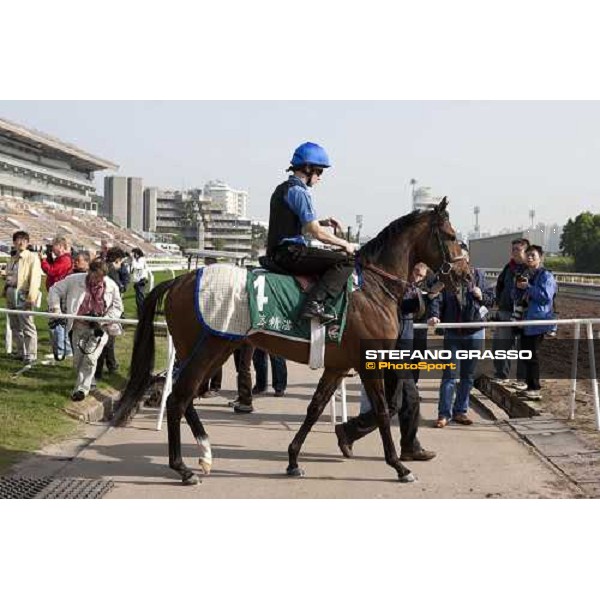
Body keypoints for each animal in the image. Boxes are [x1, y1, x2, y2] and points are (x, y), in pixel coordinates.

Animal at [112, 199, 468, 486]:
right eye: (452, 236)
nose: (464, 276)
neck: (373, 287)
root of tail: (180, 280)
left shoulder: (337, 366)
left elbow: (315, 408)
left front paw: (296, 457)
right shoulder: (368, 362)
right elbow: (382, 410)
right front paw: (398, 466)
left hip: (210, 350)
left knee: (185, 397)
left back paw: (205, 453)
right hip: (208, 350)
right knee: (178, 399)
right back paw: (183, 468)